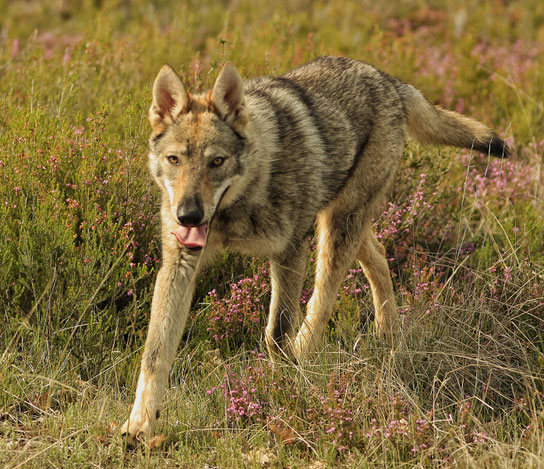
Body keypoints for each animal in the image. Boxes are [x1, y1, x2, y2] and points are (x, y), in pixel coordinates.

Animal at [121, 54, 508, 442]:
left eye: (217, 161)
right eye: (174, 160)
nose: (187, 215)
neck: (239, 206)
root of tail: (387, 80)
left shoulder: (289, 252)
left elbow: (276, 334)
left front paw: (281, 390)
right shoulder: (180, 263)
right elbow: (154, 353)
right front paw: (139, 425)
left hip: (334, 230)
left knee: (322, 301)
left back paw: (308, 356)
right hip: (343, 226)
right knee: (379, 258)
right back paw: (388, 335)